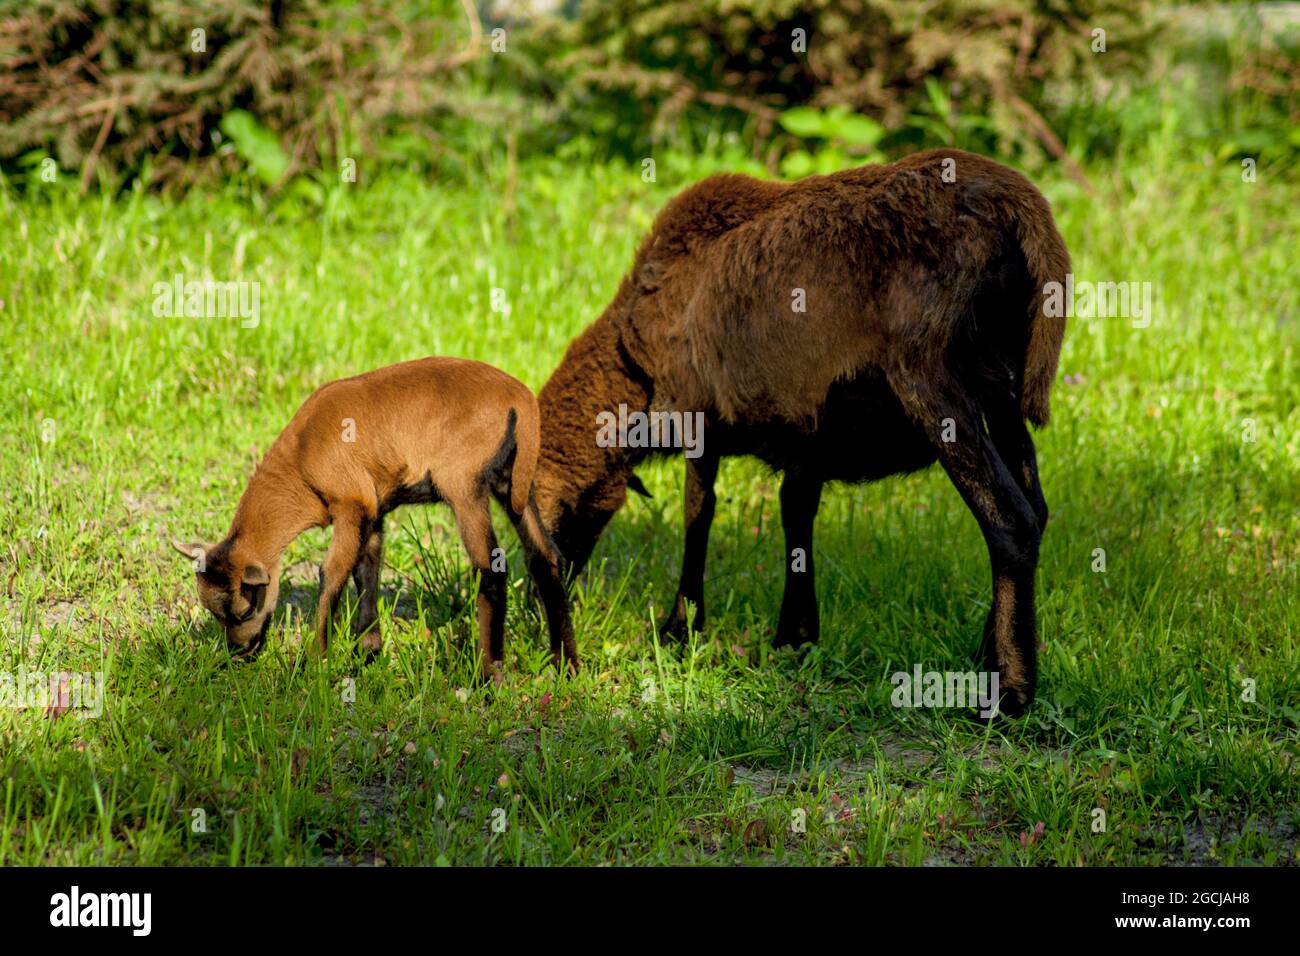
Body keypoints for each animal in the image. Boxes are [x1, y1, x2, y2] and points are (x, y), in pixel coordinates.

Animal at [527, 149, 1066, 712]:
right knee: (1037, 507)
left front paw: (680, 628)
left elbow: (698, 512)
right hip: (1002, 387)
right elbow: (795, 513)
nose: (533, 618)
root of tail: (1021, 209)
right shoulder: (807, 430)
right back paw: (990, 649)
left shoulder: (698, 416)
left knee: (1011, 520)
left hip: (931, 379)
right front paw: (795, 637)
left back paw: (1010, 691)